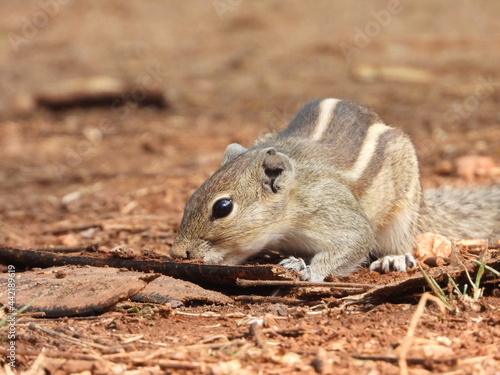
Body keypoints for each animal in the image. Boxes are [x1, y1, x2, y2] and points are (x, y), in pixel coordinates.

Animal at [169, 98, 500, 280]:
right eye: (190, 198)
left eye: (223, 207)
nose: (177, 252)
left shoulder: (332, 209)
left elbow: (355, 241)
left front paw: (311, 271)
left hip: (404, 209)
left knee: (401, 239)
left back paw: (393, 257)